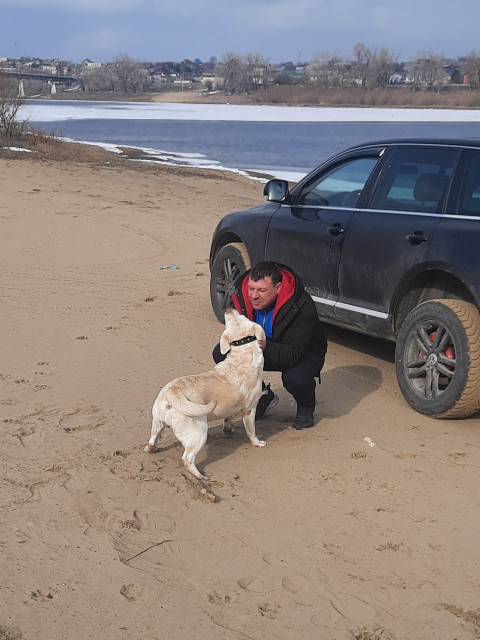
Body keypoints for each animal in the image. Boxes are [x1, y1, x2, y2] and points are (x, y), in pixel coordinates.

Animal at [144, 308, 268, 480]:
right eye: (243, 315)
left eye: (237, 316)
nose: (229, 308)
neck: (241, 352)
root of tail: (172, 390)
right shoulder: (250, 410)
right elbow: (252, 432)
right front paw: (257, 443)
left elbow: (228, 419)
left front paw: (228, 430)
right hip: (199, 431)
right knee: (187, 458)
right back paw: (200, 476)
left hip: (157, 424)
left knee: (152, 440)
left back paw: (151, 449)